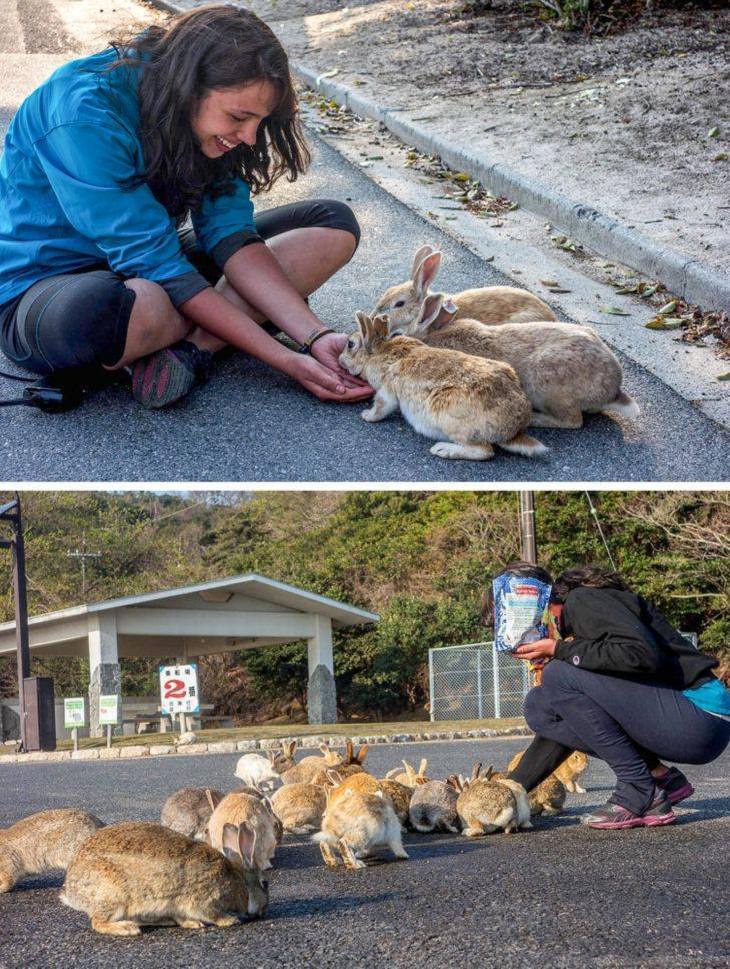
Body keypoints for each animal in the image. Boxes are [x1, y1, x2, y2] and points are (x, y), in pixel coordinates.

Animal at [59, 820, 264, 932]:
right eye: (265, 883)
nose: (262, 912)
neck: (236, 879)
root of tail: (71, 891)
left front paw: (192, 924)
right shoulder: (202, 898)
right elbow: (211, 913)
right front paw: (229, 920)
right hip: (113, 895)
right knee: (98, 922)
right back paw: (127, 928)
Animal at [338, 310, 544, 462]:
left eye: (350, 344)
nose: (339, 360)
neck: (380, 352)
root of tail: (513, 428)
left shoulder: (387, 388)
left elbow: (381, 406)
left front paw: (367, 415)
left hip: (450, 417)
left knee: (484, 451)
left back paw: (443, 449)